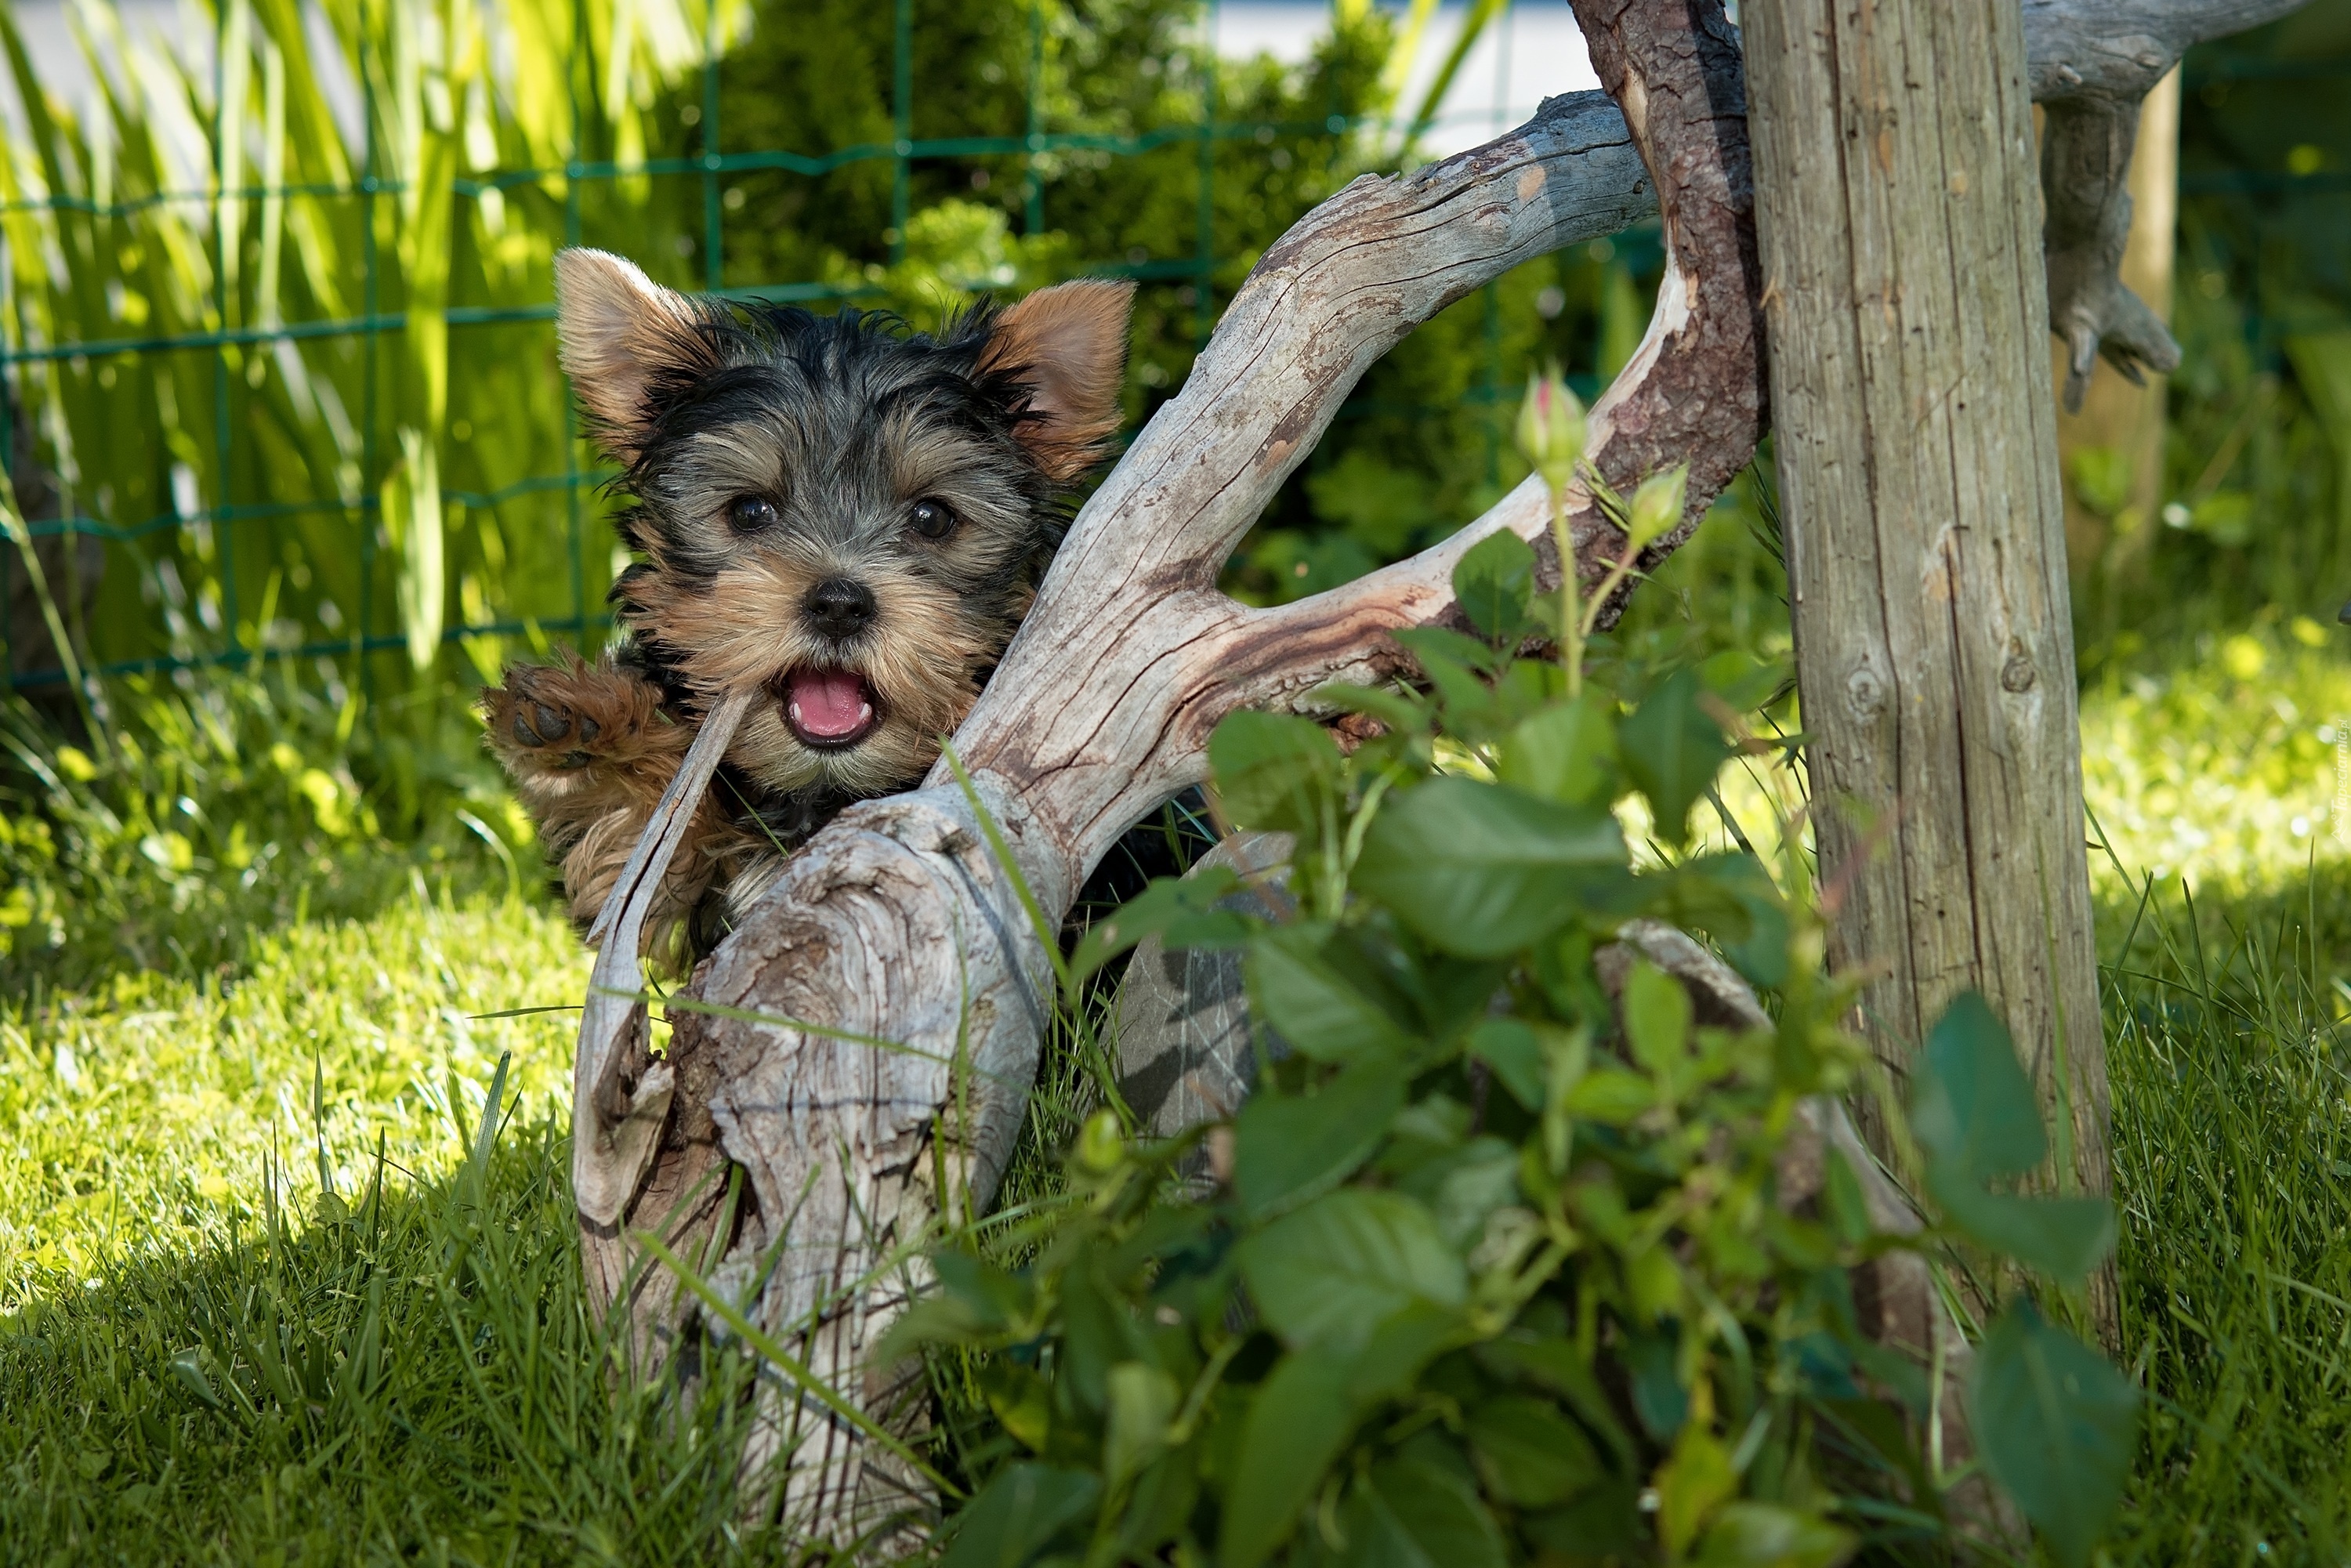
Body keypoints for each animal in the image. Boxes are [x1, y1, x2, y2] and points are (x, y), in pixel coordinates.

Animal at [482, 252, 1133, 969]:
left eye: (932, 517)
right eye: (749, 510)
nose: (839, 603)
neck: (822, 790)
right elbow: (642, 857)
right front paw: (586, 729)